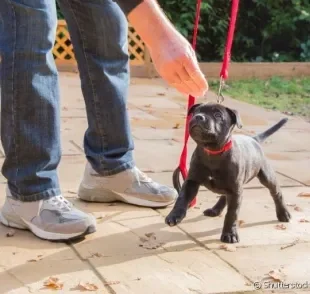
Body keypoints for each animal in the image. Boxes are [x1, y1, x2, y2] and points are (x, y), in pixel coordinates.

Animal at [166, 103, 292, 243]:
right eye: (196, 111)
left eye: (218, 115)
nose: (199, 117)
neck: (213, 152)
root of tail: (254, 139)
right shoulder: (191, 182)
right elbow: (182, 198)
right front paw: (174, 215)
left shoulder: (236, 191)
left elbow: (232, 213)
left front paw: (229, 234)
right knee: (224, 196)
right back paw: (215, 209)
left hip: (266, 176)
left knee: (276, 193)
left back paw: (283, 213)